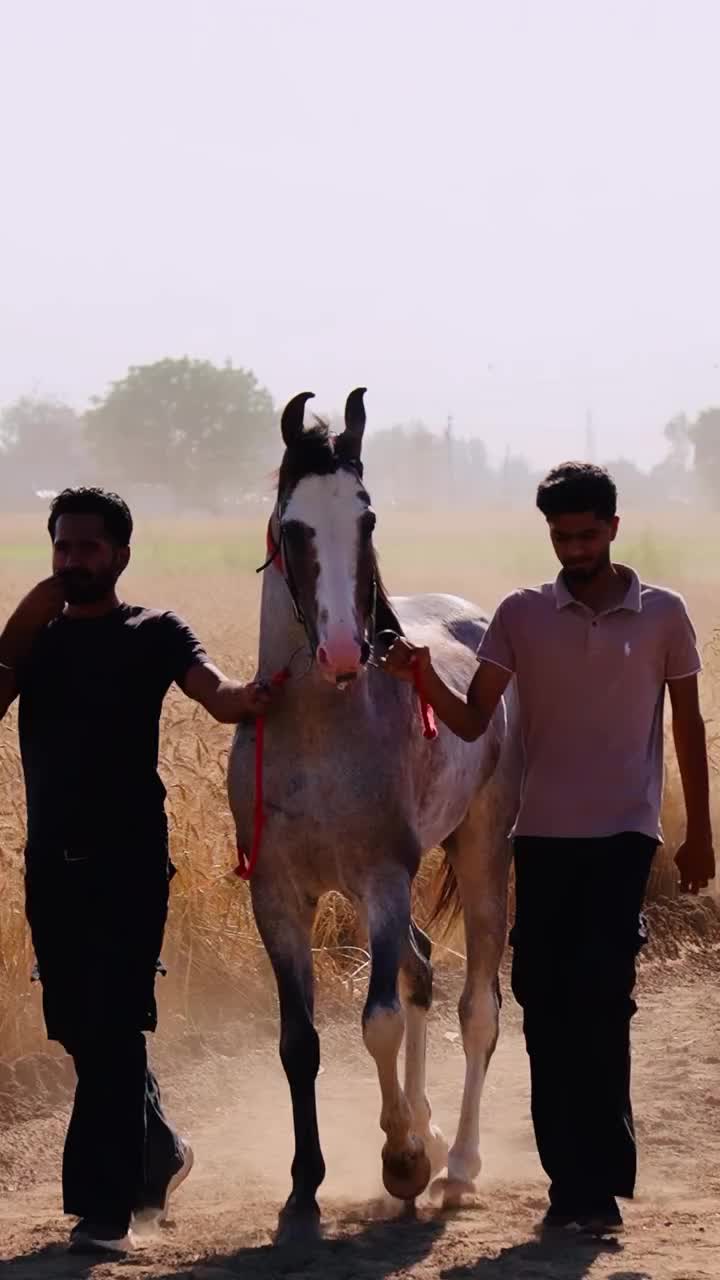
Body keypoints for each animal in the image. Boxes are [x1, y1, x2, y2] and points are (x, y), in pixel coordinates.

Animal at [227, 388, 521, 1238]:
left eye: (367, 519)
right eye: (294, 525)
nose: (339, 652)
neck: (322, 730)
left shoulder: (385, 880)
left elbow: (378, 1020)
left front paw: (402, 1160)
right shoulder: (278, 897)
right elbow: (300, 1041)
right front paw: (303, 1186)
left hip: (482, 852)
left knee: (476, 1007)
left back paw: (455, 1165)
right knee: (420, 970)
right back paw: (428, 1130)